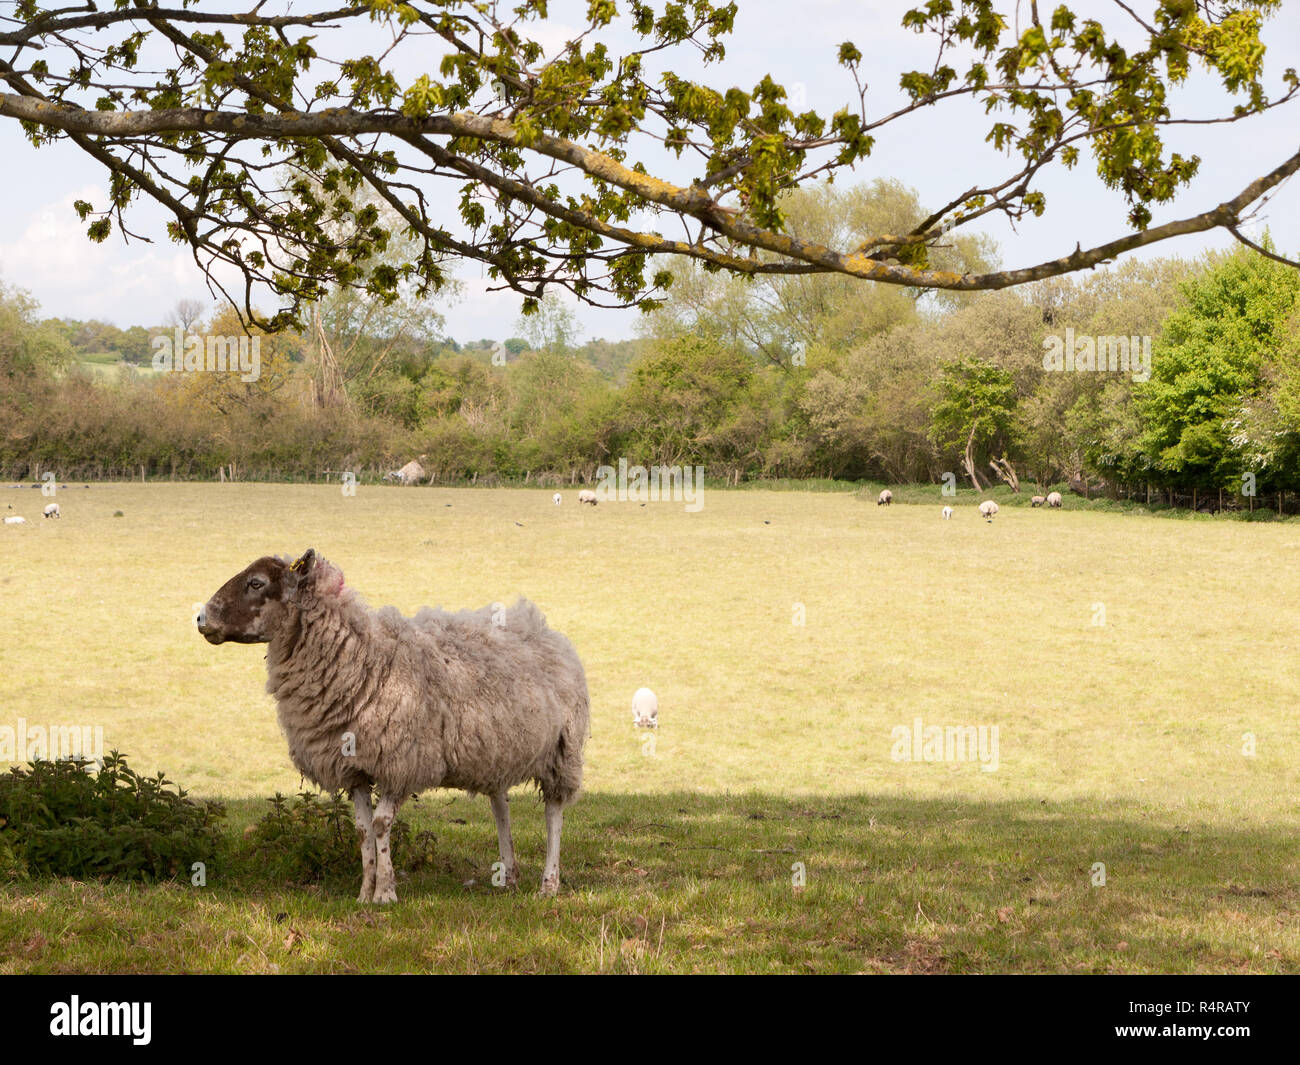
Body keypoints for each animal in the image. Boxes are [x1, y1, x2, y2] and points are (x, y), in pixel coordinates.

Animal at [197, 548, 590, 910]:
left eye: (256, 583)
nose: (200, 617)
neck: (362, 659)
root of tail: (539, 624)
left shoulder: (401, 762)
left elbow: (382, 824)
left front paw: (385, 893)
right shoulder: (352, 767)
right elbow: (361, 829)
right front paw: (363, 892)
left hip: (561, 751)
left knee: (554, 812)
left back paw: (548, 884)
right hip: (497, 749)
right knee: (501, 807)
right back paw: (508, 876)